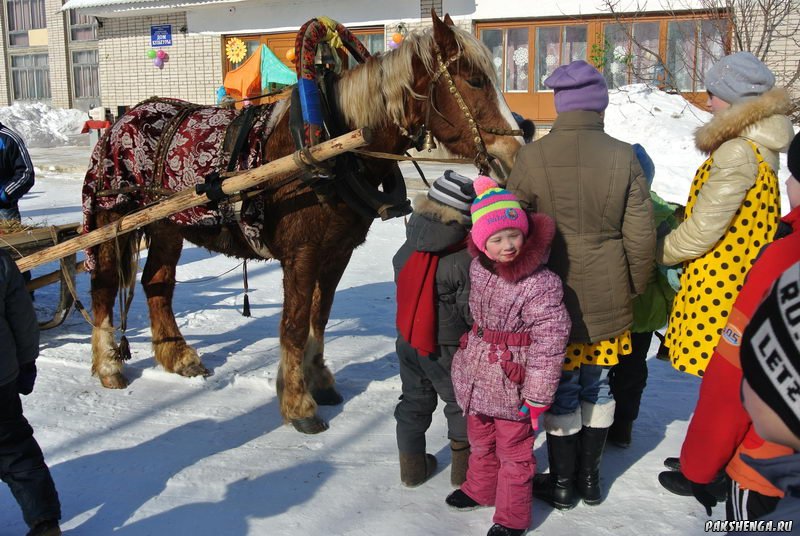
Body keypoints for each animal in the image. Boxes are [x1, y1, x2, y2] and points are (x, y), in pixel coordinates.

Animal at [84, 10, 520, 434]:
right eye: (475, 80)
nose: (514, 150)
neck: (329, 145)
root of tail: (122, 119)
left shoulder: (337, 252)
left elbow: (319, 317)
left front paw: (319, 380)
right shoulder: (302, 254)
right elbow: (293, 326)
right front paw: (298, 404)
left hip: (168, 226)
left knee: (157, 282)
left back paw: (177, 356)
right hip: (110, 217)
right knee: (104, 285)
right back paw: (109, 365)